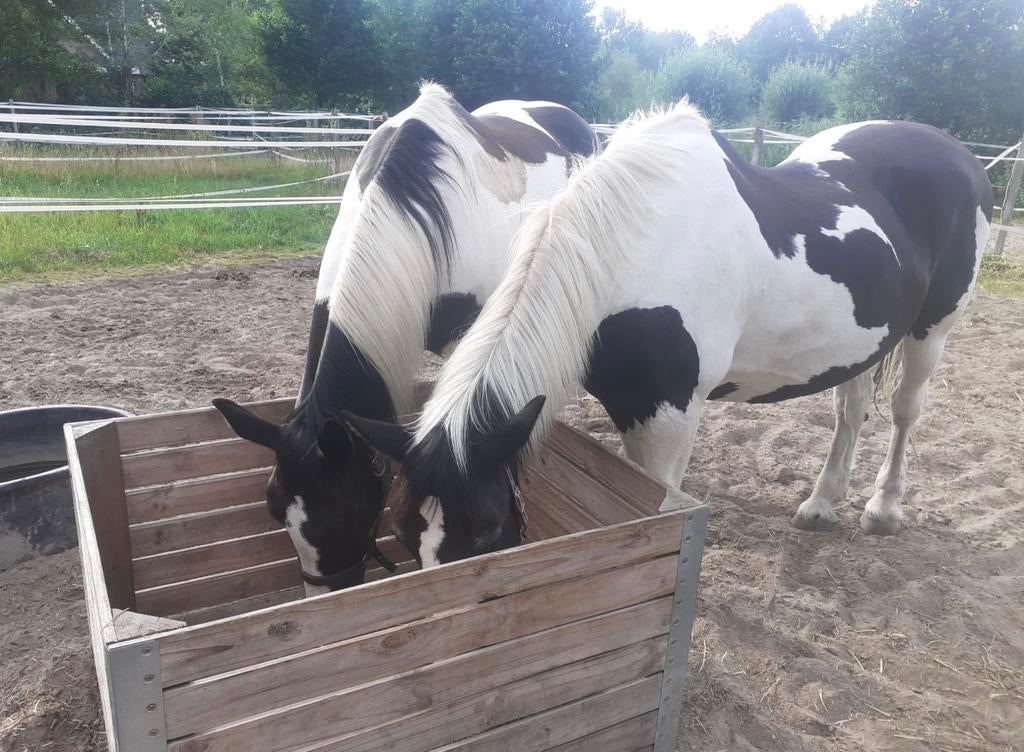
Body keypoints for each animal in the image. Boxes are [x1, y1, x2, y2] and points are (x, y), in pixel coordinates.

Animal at [343, 100, 993, 568]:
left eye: (485, 535)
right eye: (406, 536)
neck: (627, 254)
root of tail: (960, 156)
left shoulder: (667, 414)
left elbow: (653, 508)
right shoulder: (629, 407)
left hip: (932, 333)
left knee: (905, 413)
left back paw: (883, 509)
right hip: (861, 345)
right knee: (850, 411)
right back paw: (820, 504)